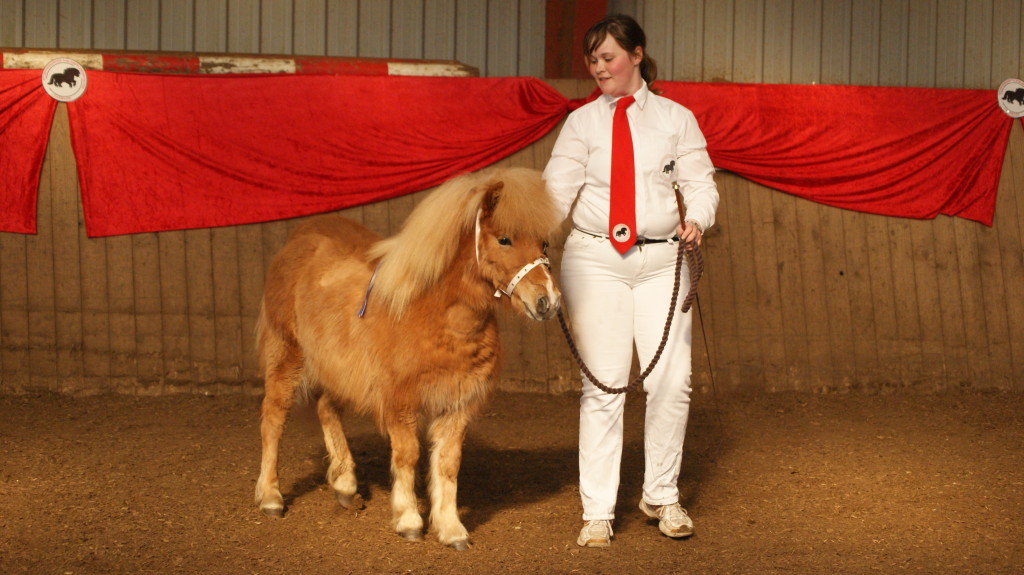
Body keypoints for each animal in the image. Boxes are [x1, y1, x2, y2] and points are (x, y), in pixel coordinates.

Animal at [253, 164, 561, 544]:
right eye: (504, 239)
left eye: (544, 243)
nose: (547, 301)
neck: (433, 315)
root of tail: (299, 238)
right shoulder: (400, 403)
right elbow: (408, 455)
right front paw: (410, 520)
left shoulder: (457, 405)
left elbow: (448, 463)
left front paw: (451, 529)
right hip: (288, 357)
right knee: (273, 419)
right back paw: (270, 497)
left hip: (337, 369)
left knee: (326, 408)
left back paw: (345, 485)